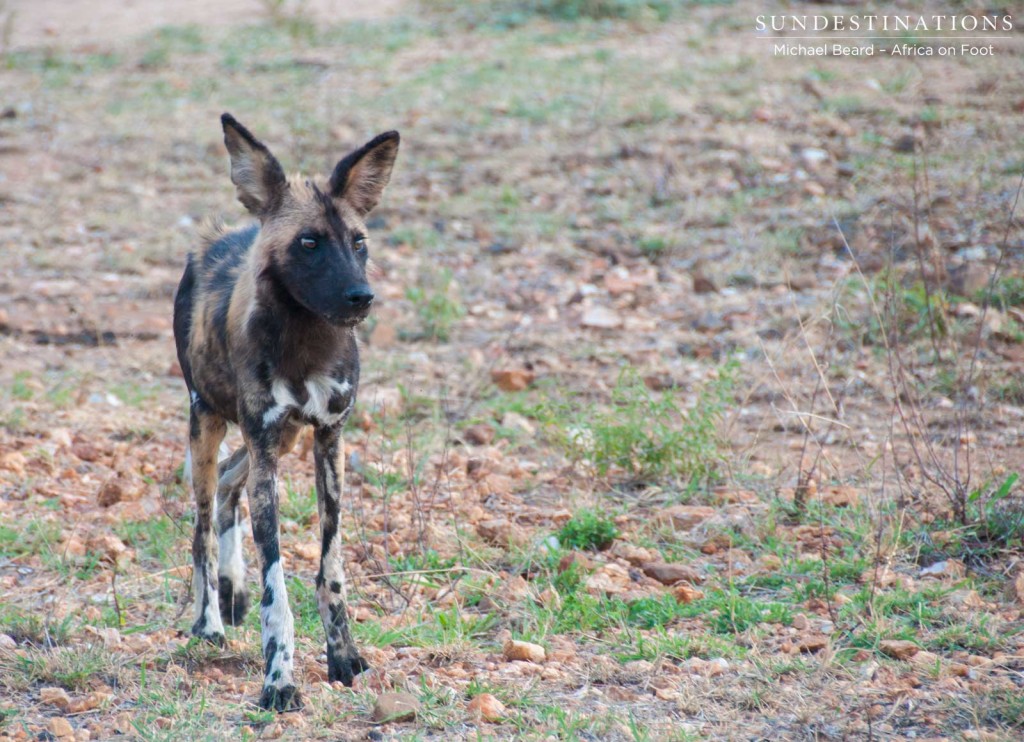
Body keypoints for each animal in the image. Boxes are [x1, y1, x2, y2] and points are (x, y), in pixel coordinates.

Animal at [169, 113, 397, 708]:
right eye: (309, 242)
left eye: (358, 242)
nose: (362, 296)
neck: (307, 343)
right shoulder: (265, 447)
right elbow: (279, 588)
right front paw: (279, 680)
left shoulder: (326, 439)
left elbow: (330, 571)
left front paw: (343, 658)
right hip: (208, 424)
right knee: (202, 524)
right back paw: (209, 622)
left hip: (277, 440)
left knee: (230, 485)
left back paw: (231, 591)